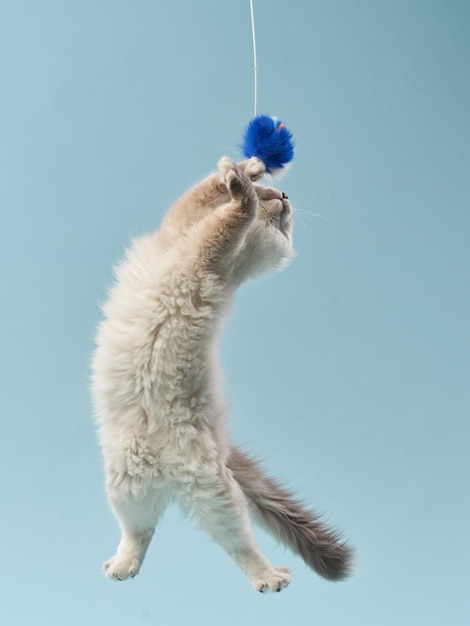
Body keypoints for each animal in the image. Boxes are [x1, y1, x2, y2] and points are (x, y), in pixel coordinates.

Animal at [91, 156, 352, 588]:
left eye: (283, 213)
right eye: (272, 194)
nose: (282, 194)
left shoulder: (207, 249)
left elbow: (230, 217)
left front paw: (241, 186)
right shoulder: (183, 227)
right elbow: (204, 195)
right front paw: (245, 167)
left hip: (215, 495)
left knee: (239, 545)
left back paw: (269, 577)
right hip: (125, 485)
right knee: (138, 532)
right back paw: (123, 566)